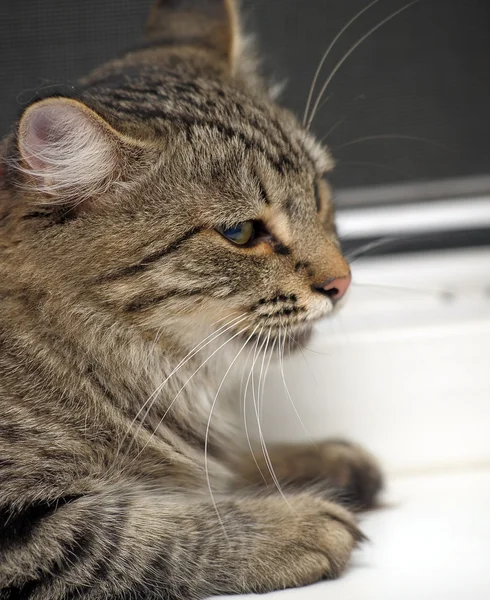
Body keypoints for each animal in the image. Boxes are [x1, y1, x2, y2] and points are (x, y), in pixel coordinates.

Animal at [0, 1, 382, 600]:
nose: (342, 283)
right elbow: (138, 537)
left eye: (318, 193)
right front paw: (291, 524)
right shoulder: (23, 528)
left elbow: (223, 464)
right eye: (240, 232)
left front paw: (313, 461)